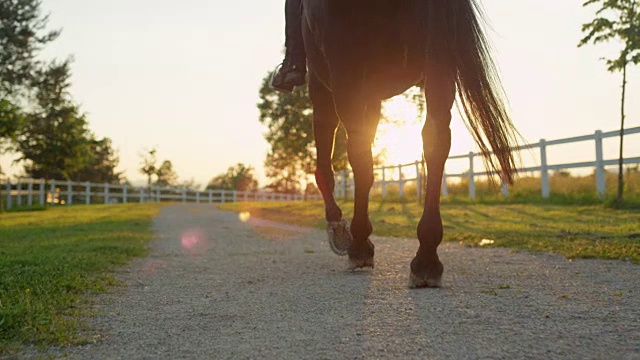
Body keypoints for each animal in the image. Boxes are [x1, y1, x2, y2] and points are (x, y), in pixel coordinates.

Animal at [302, 0, 520, 286]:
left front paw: (345, 232)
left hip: (341, 74)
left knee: (349, 146)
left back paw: (356, 241)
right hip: (435, 64)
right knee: (434, 140)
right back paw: (426, 257)